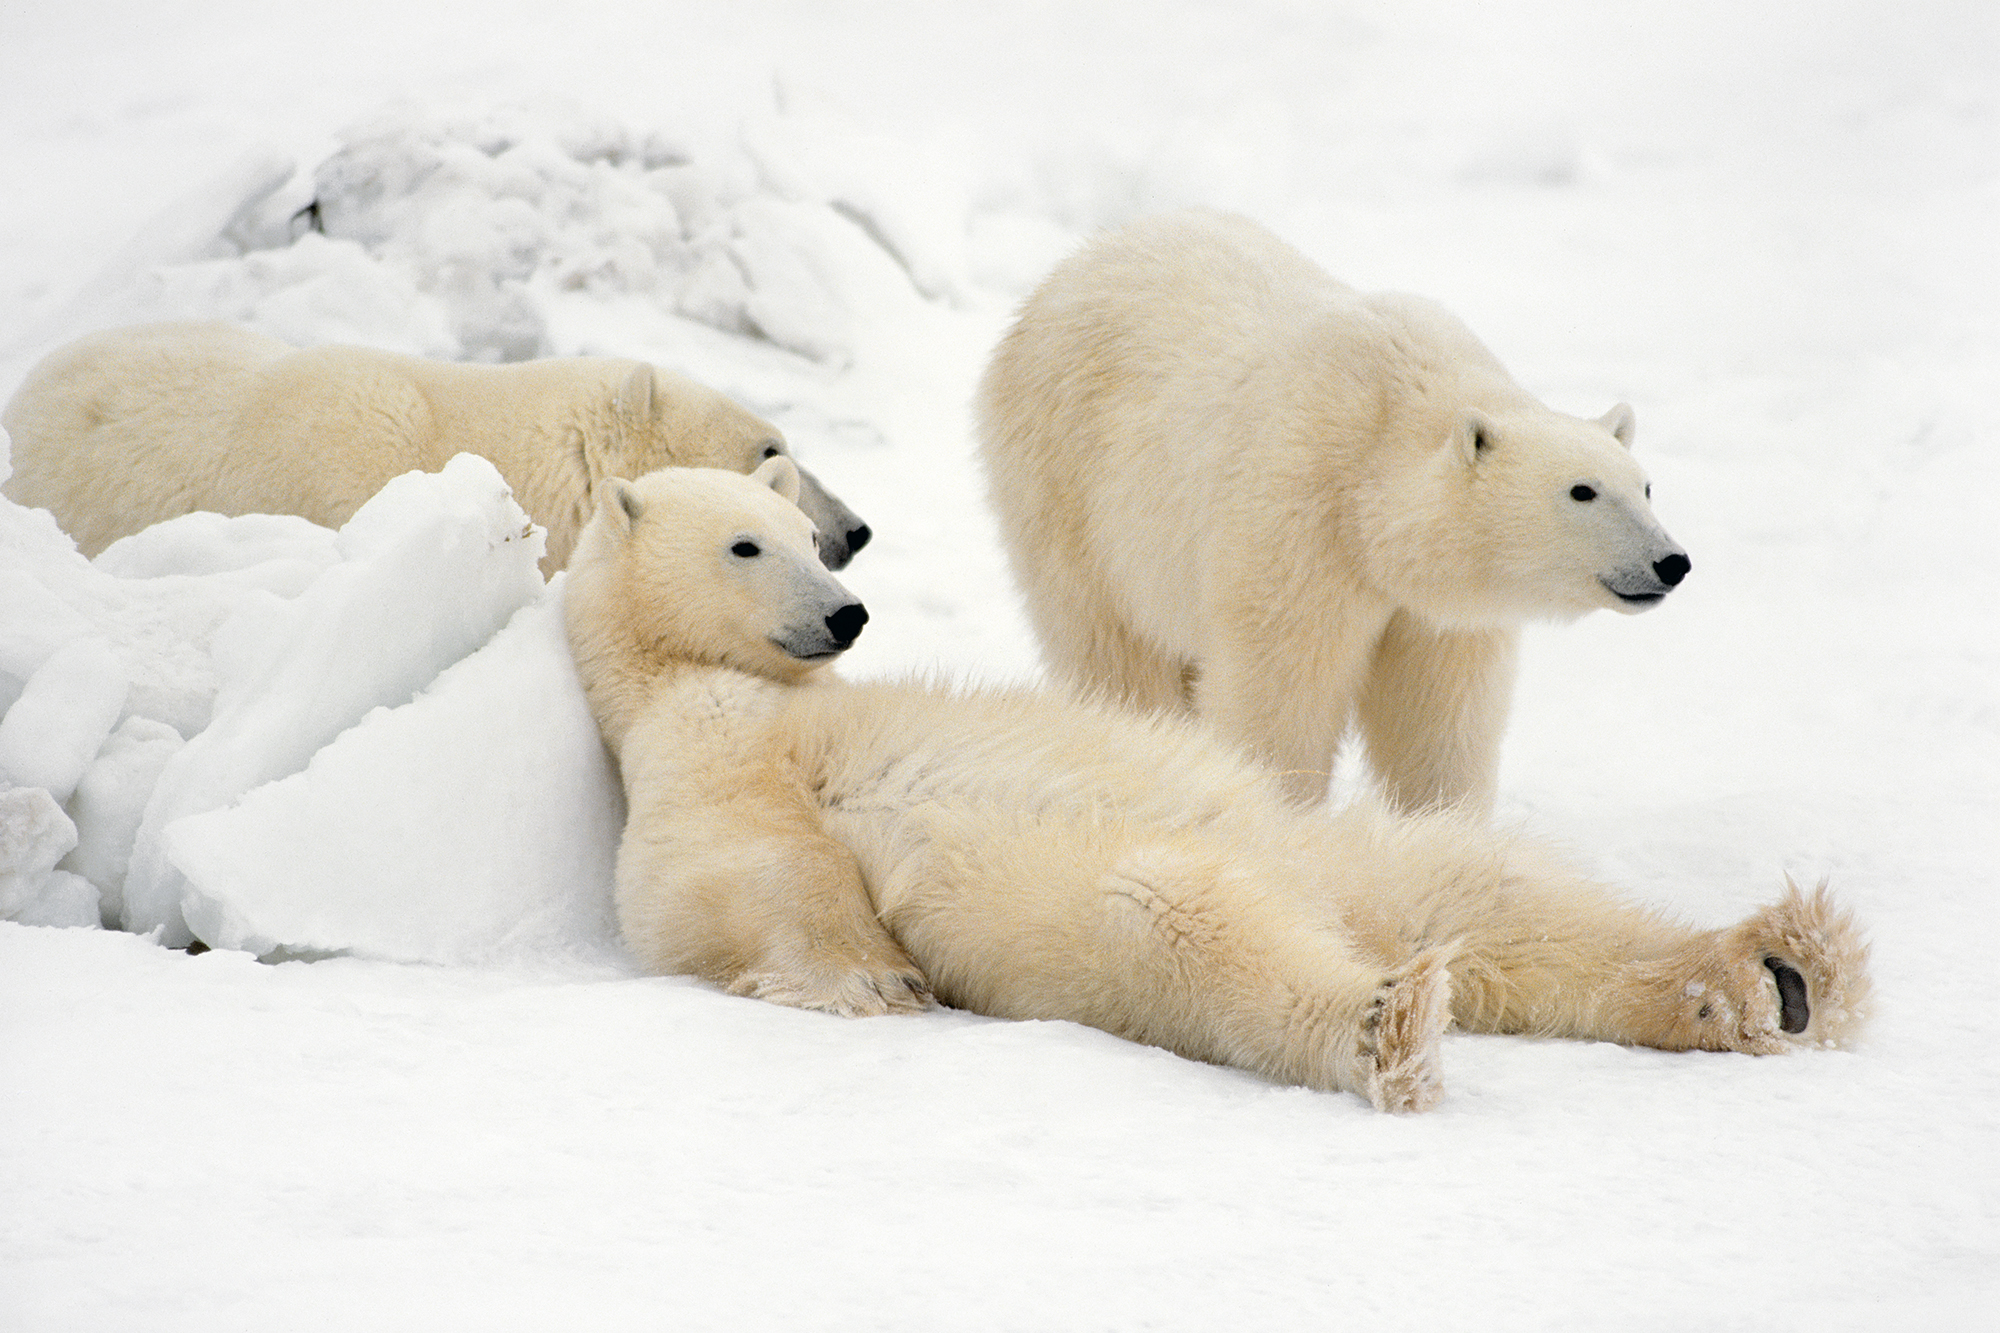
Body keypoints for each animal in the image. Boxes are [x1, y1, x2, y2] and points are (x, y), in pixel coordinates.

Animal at [560, 462, 1856, 1104]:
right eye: (746, 543)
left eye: (805, 535)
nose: (845, 612)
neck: (712, 681)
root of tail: (1339, 914)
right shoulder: (694, 755)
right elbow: (734, 877)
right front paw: (874, 982)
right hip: (1095, 902)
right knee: (1175, 920)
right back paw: (1387, 1022)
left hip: (1340, 849)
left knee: (1495, 897)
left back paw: (1773, 972)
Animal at [976, 209, 1696, 808]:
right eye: (1581, 490)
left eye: (1645, 486)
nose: (1671, 562)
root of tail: (1073, 265)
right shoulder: (1300, 519)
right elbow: (1282, 693)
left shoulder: (1436, 614)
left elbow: (1440, 717)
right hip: (1069, 488)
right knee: (1112, 650)